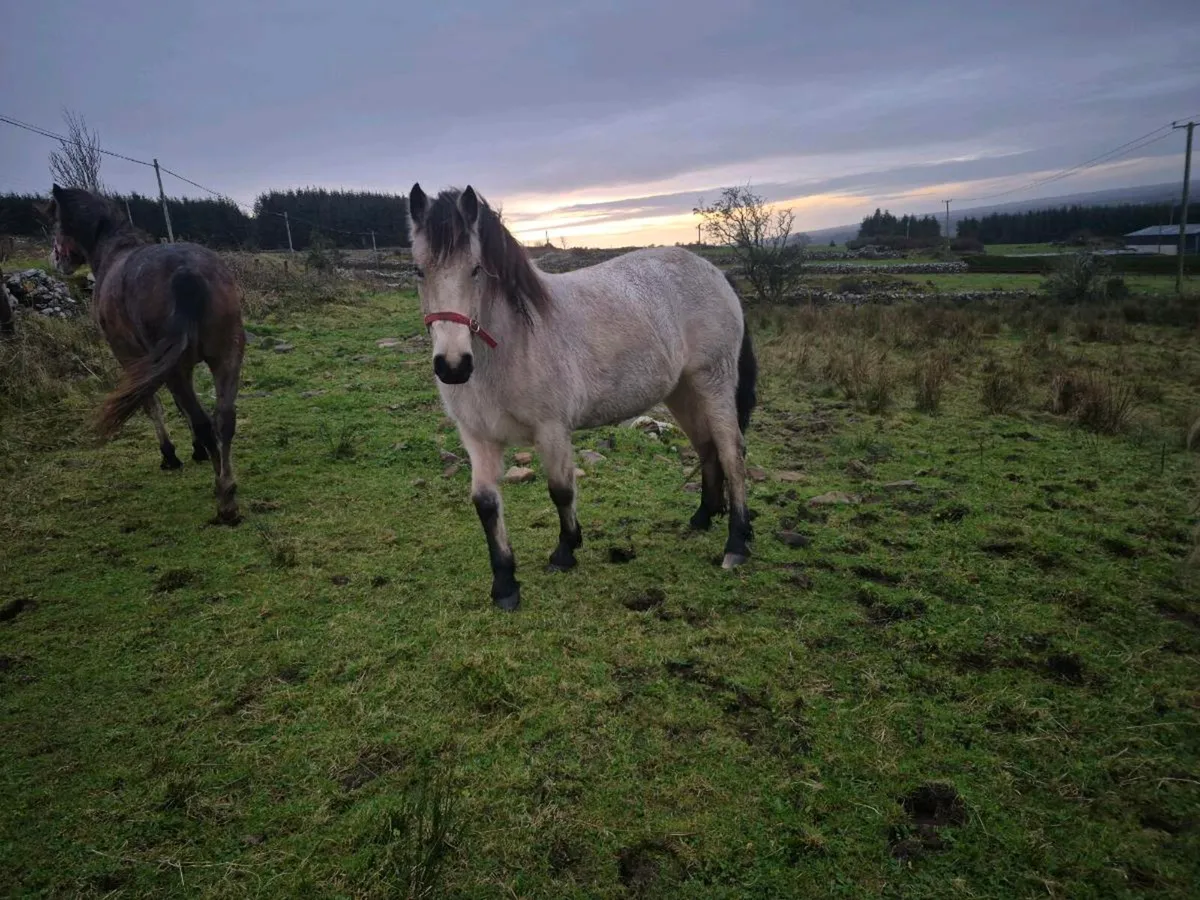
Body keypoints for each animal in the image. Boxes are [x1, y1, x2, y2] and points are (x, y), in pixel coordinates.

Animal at [41, 185, 245, 525]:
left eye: (54, 220)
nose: (56, 260)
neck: (112, 251)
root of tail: (186, 271)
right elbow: (181, 408)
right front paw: (197, 452)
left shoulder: (132, 358)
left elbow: (154, 406)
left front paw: (171, 456)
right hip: (226, 355)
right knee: (224, 419)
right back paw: (227, 485)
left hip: (175, 367)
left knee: (204, 421)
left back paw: (224, 501)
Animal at [407, 183, 757, 611]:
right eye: (418, 270)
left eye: (476, 269)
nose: (453, 366)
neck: (511, 346)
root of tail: (716, 274)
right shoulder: (478, 438)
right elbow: (486, 504)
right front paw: (505, 584)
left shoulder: (552, 429)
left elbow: (561, 490)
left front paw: (565, 552)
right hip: (682, 391)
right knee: (707, 448)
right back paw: (702, 518)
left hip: (714, 384)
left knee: (731, 452)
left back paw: (736, 543)